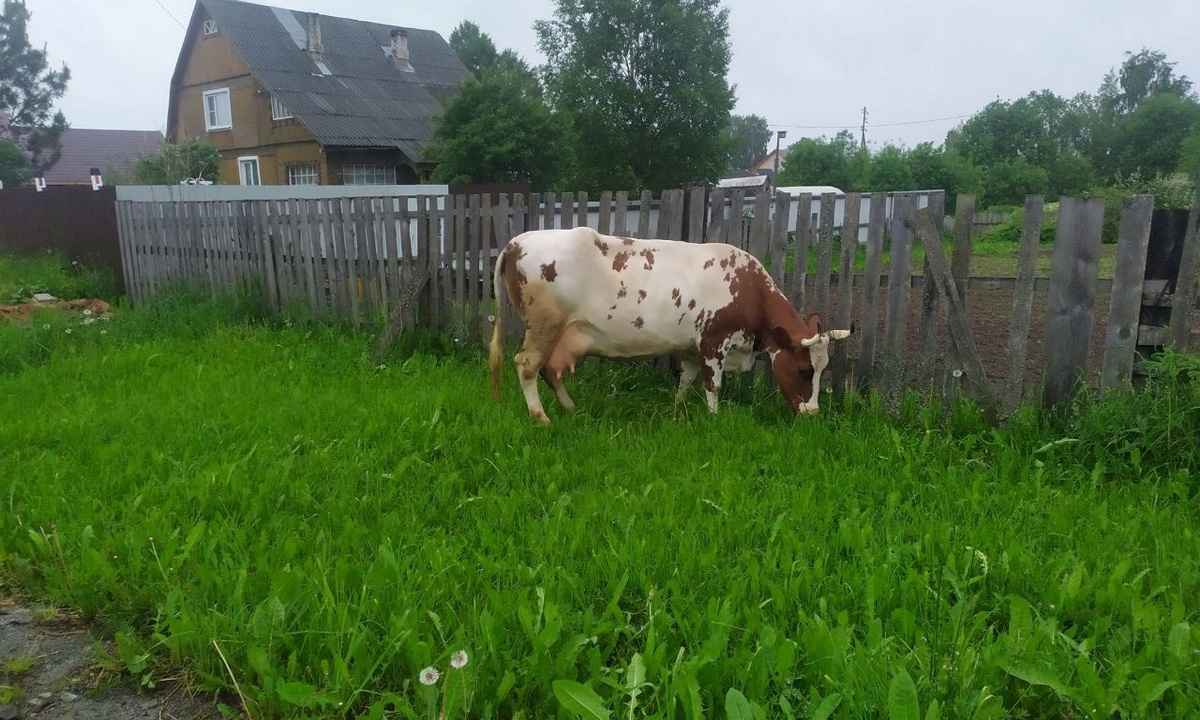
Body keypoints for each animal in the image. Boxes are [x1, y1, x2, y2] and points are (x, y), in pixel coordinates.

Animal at [489, 228, 854, 424]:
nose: (813, 412)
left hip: (561, 333)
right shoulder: (713, 341)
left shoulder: (691, 348)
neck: (749, 290)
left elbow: (686, 380)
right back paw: (542, 418)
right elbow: (713, 386)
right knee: (527, 365)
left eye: (824, 369)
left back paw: (569, 408)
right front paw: (714, 418)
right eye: (804, 371)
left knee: (549, 370)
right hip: (544, 325)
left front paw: (678, 411)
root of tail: (516, 242)